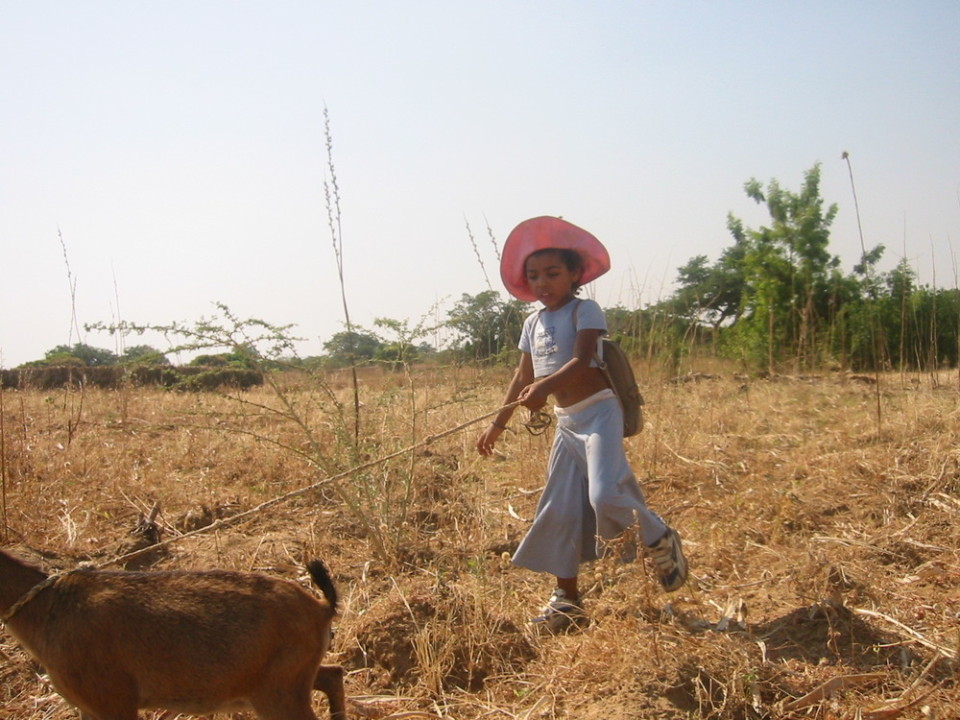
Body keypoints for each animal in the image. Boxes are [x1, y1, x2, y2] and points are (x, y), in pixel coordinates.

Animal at [0, 548, 344, 716]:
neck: (48, 607)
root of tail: (320, 608)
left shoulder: (113, 700)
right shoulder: (89, 707)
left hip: (277, 692)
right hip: (289, 679)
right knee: (333, 673)